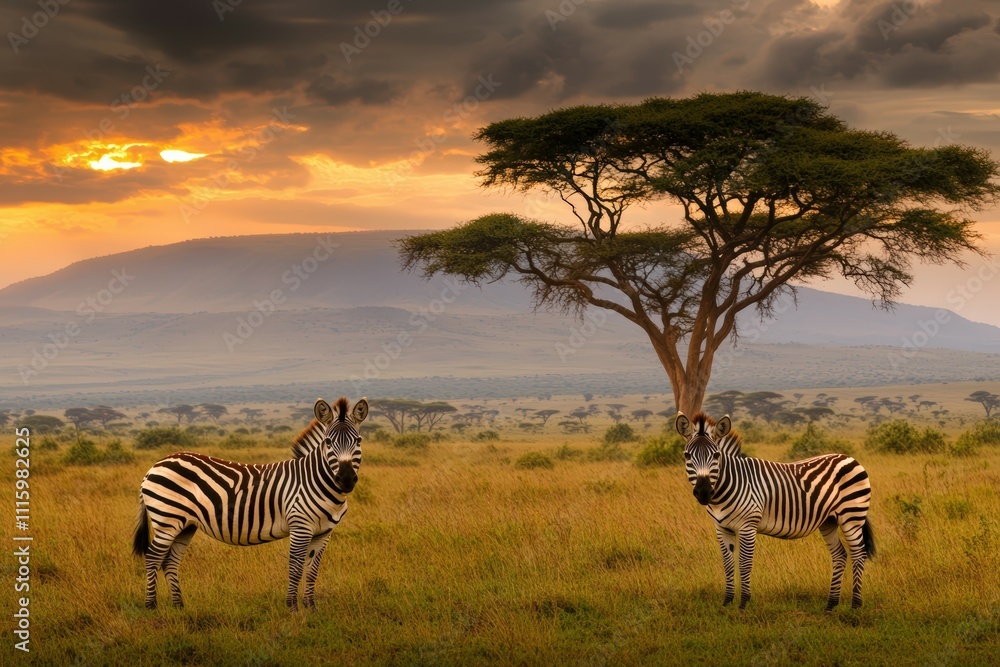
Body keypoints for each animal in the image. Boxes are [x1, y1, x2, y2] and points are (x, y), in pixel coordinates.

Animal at [132, 396, 368, 611]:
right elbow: (296, 567)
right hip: (167, 520)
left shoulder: (324, 533)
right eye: (328, 442)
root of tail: (155, 465)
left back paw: (178, 606)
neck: (314, 480)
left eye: (358, 441)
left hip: (185, 525)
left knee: (170, 561)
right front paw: (292, 608)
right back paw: (151, 606)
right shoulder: (300, 526)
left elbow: (312, 569)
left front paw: (311, 608)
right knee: (153, 558)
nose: (346, 479)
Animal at [676, 412, 874, 610]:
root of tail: (849, 458)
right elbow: (728, 564)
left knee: (859, 554)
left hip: (852, 516)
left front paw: (743, 604)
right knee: (840, 555)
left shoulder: (748, 526)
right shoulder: (721, 528)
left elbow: (744, 564)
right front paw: (727, 602)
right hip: (829, 521)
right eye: (687, 455)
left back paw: (855, 605)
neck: (728, 486)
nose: (703, 492)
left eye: (716, 455)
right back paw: (830, 605)